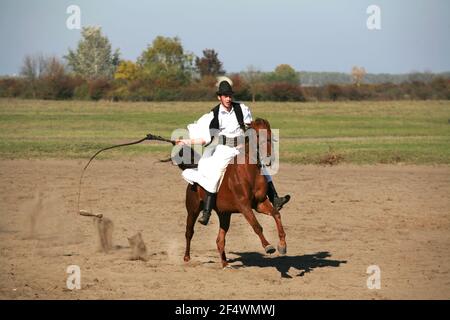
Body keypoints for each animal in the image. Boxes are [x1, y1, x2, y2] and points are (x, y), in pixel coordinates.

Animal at [178, 117, 286, 268]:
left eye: (271, 135)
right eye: (258, 136)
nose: (269, 159)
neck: (249, 172)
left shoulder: (259, 204)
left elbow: (276, 214)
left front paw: (282, 245)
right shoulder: (244, 206)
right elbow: (257, 226)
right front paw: (268, 246)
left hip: (224, 214)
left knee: (220, 240)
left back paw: (224, 263)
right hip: (193, 210)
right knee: (189, 232)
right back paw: (187, 257)